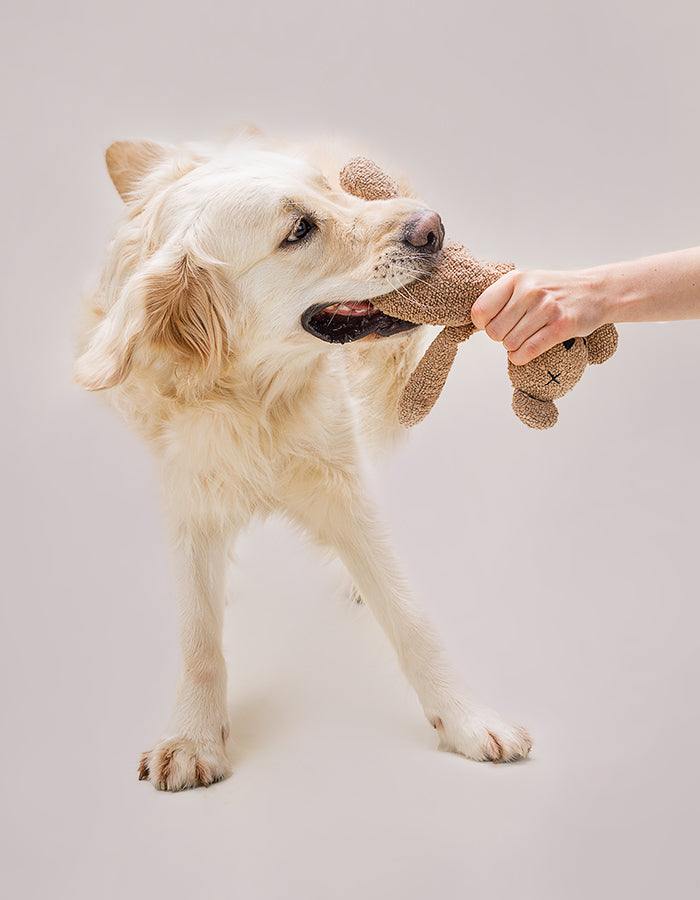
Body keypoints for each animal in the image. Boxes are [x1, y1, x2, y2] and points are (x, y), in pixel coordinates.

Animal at [75, 130, 532, 792]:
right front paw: (193, 737)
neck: (255, 397)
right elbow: (198, 637)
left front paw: (470, 721)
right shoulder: (190, 500)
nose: (432, 225)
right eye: (298, 230)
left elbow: (410, 615)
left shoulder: (343, 487)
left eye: (329, 188)